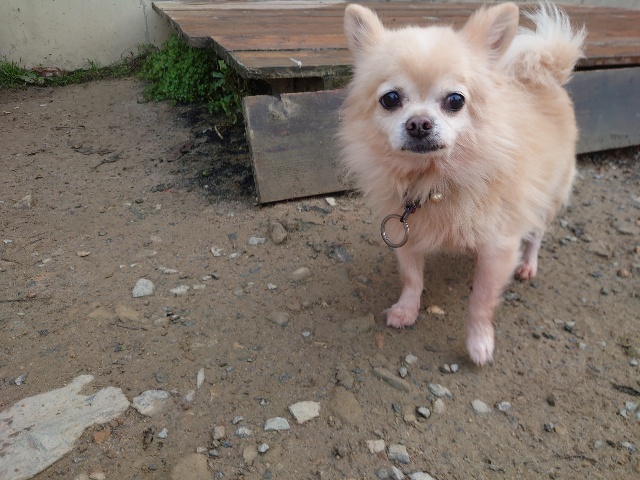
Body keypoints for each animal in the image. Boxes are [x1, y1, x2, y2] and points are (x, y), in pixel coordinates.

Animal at [339, 2, 585, 365]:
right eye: (390, 99)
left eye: (455, 100)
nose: (419, 123)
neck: (435, 181)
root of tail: (544, 73)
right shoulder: (405, 231)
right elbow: (412, 278)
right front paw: (407, 310)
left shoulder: (499, 246)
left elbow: (481, 300)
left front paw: (479, 342)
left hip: (547, 196)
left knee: (537, 234)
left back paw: (528, 264)